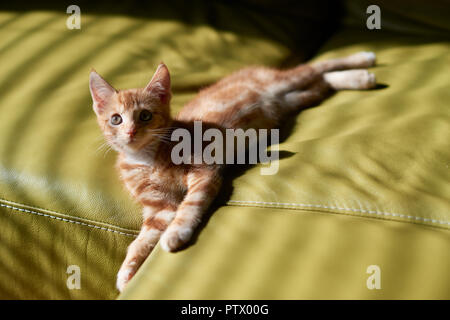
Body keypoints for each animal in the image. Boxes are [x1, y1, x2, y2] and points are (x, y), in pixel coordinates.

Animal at [89, 51, 376, 292]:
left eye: (146, 116)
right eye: (116, 119)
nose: (131, 132)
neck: (148, 158)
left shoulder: (204, 170)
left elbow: (189, 205)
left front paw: (176, 234)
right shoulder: (159, 208)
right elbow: (142, 239)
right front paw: (127, 272)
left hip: (282, 83)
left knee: (317, 66)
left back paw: (363, 63)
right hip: (292, 100)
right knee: (322, 82)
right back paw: (358, 78)